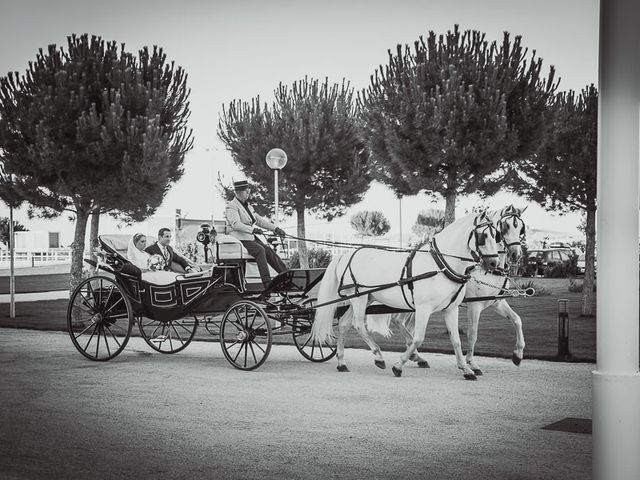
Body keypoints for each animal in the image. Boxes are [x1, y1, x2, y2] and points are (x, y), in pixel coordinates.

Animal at [310, 210, 500, 378]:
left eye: (496, 235)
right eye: (483, 236)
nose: (494, 263)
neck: (441, 265)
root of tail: (346, 255)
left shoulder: (451, 309)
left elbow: (456, 341)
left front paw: (466, 369)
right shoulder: (423, 308)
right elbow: (418, 339)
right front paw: (399, 366)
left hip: (366, 298)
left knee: (343, 324)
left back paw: (342, 362)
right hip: (359, 298)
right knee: (358, 325)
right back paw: (378, 356)